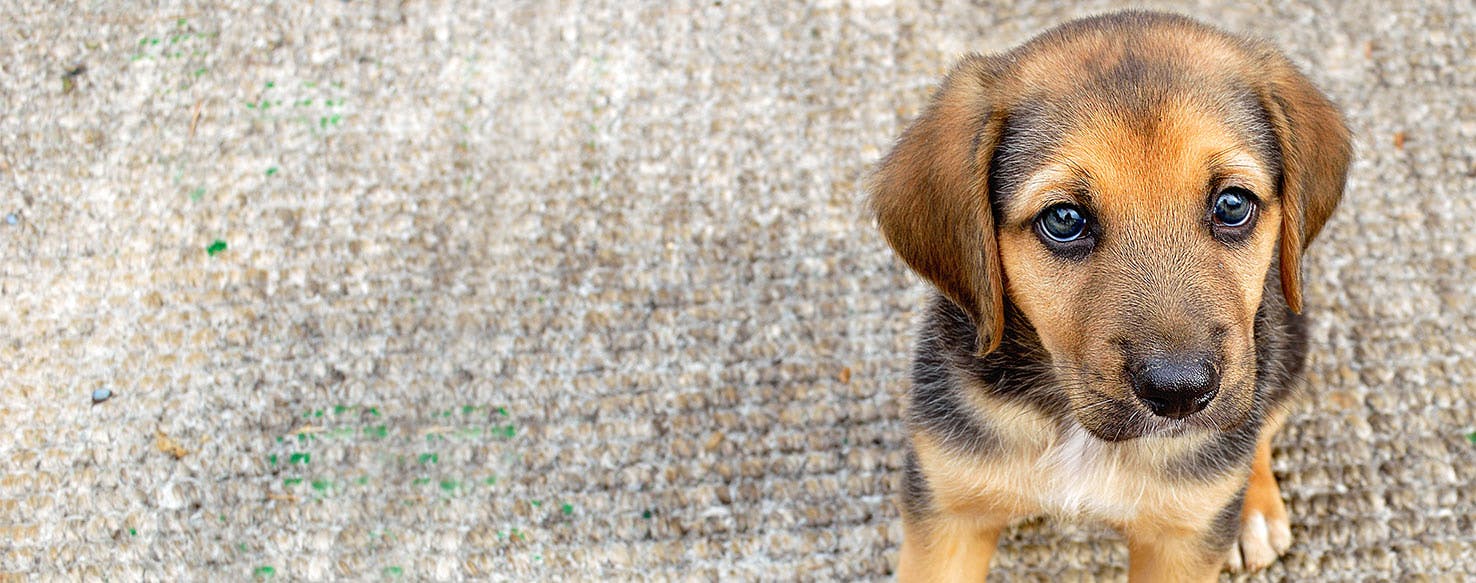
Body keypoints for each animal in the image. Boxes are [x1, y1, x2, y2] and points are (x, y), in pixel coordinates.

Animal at [867, 11, 1352, 581]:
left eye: (1233, 204)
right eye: (1063, 219)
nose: (1181, 392)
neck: (1077, 431)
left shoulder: (1181, 542)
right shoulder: (947, 512)